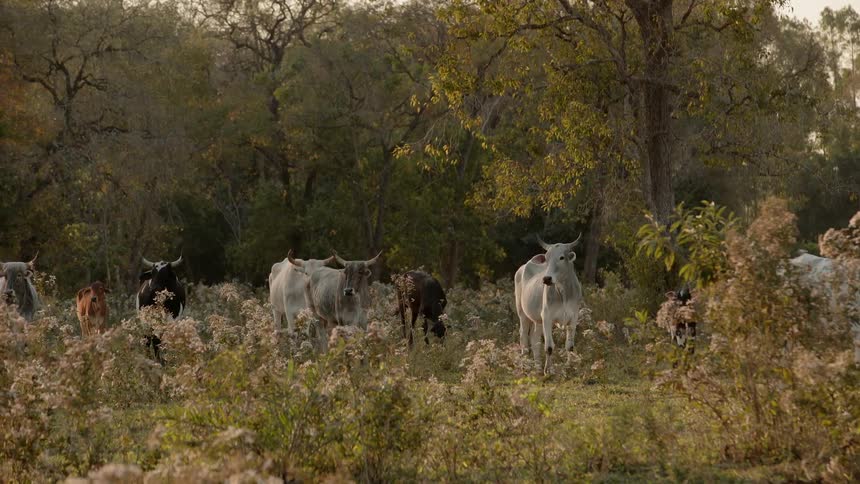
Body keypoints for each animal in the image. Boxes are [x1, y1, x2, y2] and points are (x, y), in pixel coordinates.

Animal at [514, 234, 583, 375]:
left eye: (561, 257)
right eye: (547, 258)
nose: (546, 279)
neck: (564, 293)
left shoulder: (573, 318)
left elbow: (570, 346)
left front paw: (569, 367)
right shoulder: (547, 317)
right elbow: (549, 347)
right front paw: (548, 371)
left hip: (537, 320)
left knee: (534, 339)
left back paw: (537, 367)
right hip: (522, 313)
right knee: (523, 337)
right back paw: (526, 364)